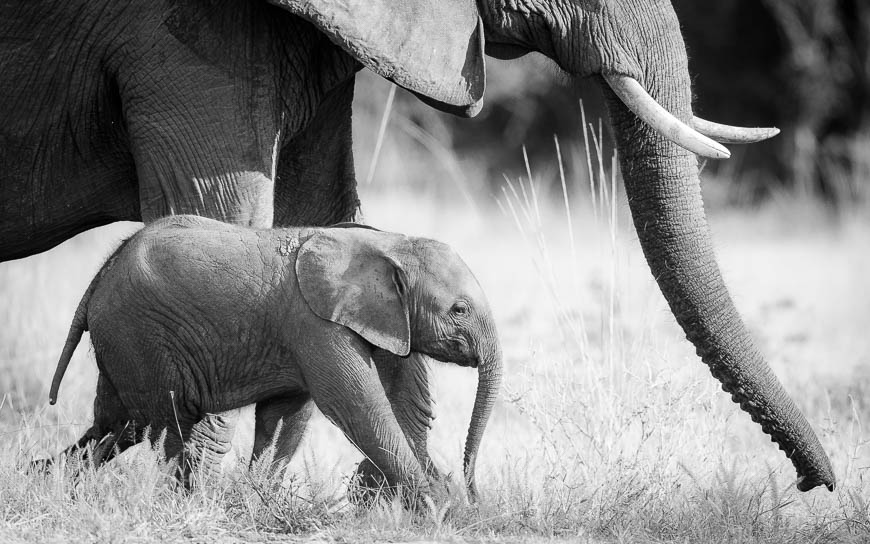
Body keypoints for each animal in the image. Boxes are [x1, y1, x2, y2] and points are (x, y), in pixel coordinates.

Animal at [44, 215, 503, 504]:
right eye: (459, 310)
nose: (475, 494)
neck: (388, 243)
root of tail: (101, 273)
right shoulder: (313, 324)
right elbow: (358, 407)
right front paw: (440, 507)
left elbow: (286, 416)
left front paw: (258, 498)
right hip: (141, 336)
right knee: (168, 421)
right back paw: (187, 500)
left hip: (123, 342)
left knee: (119, 423)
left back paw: (46, 480)